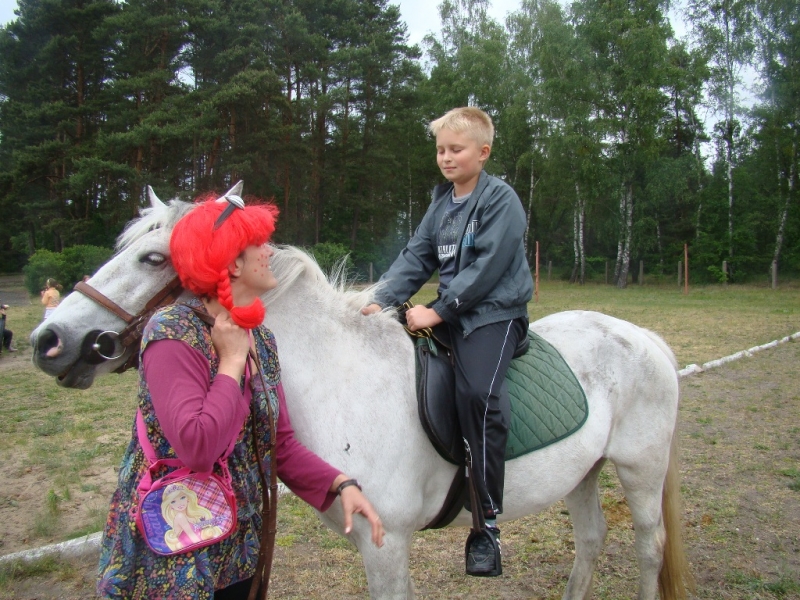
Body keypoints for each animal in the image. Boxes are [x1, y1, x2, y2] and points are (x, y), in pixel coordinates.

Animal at [32, 193, 692, 600]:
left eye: (151, 257)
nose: (49, 340)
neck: (340, 377)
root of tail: (646, 339)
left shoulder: (387, 544)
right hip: (583, 471)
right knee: (591, 540)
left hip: (639, 469)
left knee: (649, 546)